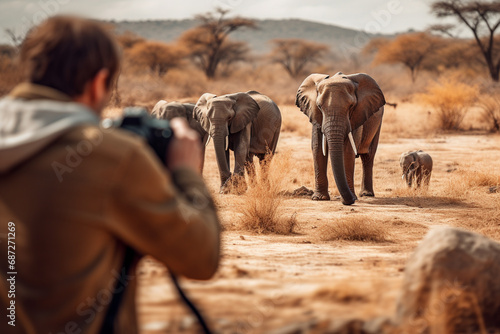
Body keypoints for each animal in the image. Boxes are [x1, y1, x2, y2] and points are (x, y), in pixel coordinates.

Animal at [296, 72, 386, 205]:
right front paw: (319, 198)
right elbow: (317, 148)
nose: (351, 200)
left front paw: (351, 198)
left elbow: (347, 150)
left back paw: (366, 194)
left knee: (368, 156)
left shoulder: (356, 116)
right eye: (319, 106)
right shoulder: (316, 116)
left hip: (378, 122)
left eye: (352, 106)